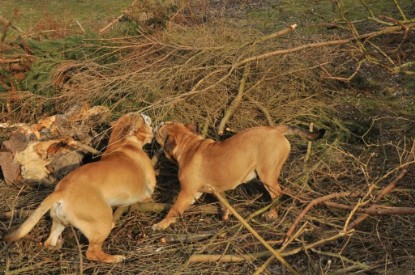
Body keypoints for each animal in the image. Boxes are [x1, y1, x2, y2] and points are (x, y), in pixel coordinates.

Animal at [3, 113, 156, 264]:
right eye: (144, 119)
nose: (147, 116)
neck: (122, 142)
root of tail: (62, 191)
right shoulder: (149, 185)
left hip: (59, 222)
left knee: (49, 242)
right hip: (102, 221)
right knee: (92, 252)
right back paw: (114, 258)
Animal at [152, 123, 324, 231]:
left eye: (161, 130)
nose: (158, 124)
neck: (187, 144)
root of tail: (275, 129)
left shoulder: (187, 193)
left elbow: (174, 209)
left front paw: (161, 224)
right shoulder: (210, 191)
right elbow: (224, 202)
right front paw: (225, 216)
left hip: (267, 174)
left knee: (277, 194)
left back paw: (272, 215)